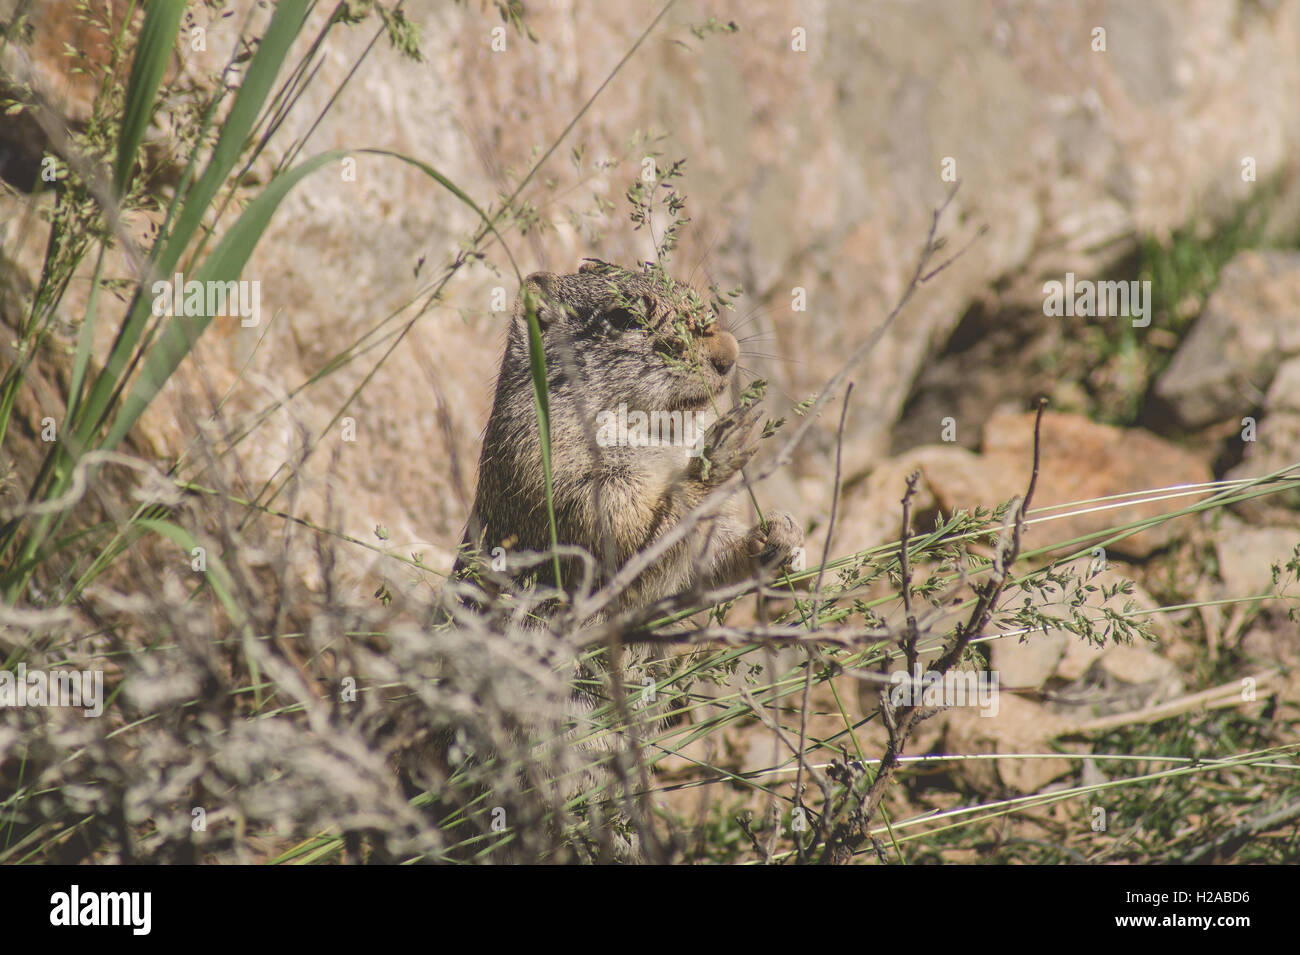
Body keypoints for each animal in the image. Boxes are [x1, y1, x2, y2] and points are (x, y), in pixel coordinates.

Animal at [454, 259, 800, 613]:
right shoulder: (561, 479)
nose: (729, 354)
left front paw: (781, 533)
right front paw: (716, 456)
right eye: (626, 318)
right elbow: (637, 541)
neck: (656, 433)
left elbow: (712, 558)